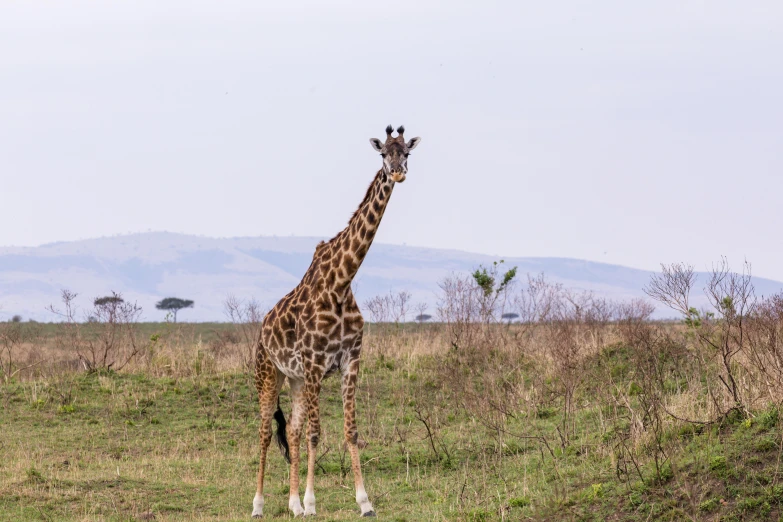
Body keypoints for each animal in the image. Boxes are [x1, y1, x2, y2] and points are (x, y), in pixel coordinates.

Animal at [253, 123, 422, 516]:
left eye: (407, 152)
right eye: (383, 153)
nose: (397, 173)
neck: (341, 282)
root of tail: (261, 329)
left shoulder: (350, 361)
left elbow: (350, 432)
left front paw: (364, 501)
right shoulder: (316, 364)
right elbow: (317, 434)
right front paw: (313, 502)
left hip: (295, 379)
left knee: (292, 430)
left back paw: (292, 505)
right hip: (269, 374)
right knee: (266, 432)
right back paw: (259, 504)